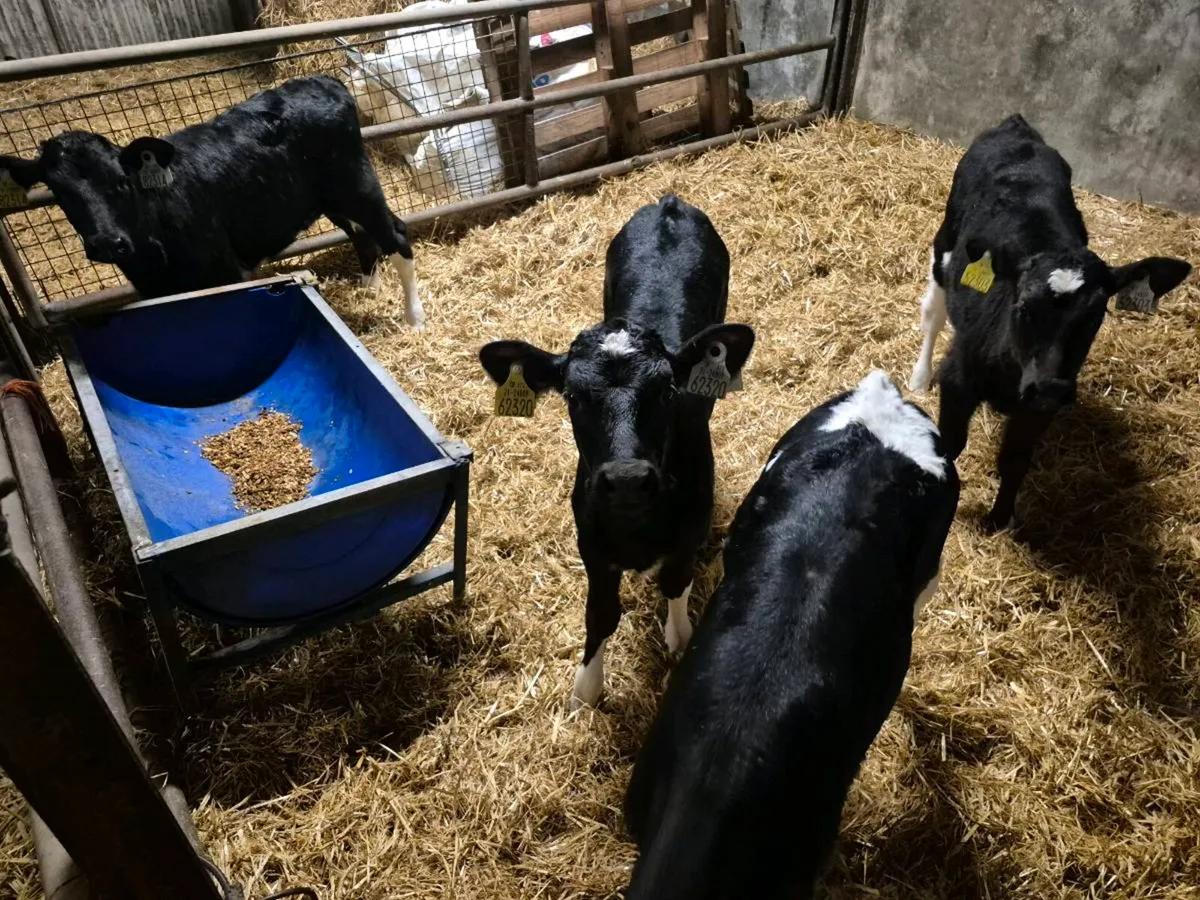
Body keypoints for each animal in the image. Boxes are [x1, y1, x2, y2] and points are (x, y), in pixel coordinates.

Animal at [0, 75, 424, 329]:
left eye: (121, 181)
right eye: (60, 194)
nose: (107, 243)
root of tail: (322, 80)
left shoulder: (226, 271)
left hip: (358, 184)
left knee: (396, 234)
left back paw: (414, 318)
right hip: (329, 198)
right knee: (362, 234)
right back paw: (369, 287)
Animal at [478, 194, 755, 709]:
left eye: (667, 391)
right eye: (572, 396)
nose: (627, 478)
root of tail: (670, 203)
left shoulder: (688, 535)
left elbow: (675, 586)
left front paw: (679, 641)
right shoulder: (591, 544)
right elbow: (601, 614)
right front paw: (585, 691)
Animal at [907, 114, 1191, 531]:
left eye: (1095, 316)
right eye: (1024, 307)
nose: (1051, 387)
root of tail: (1017, 127)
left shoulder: (1039, 408)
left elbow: (1015, 460)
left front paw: (998, 520)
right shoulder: (959, 378)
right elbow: (949, 445)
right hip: (943, 248)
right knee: (932, 315)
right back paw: (919, 377)